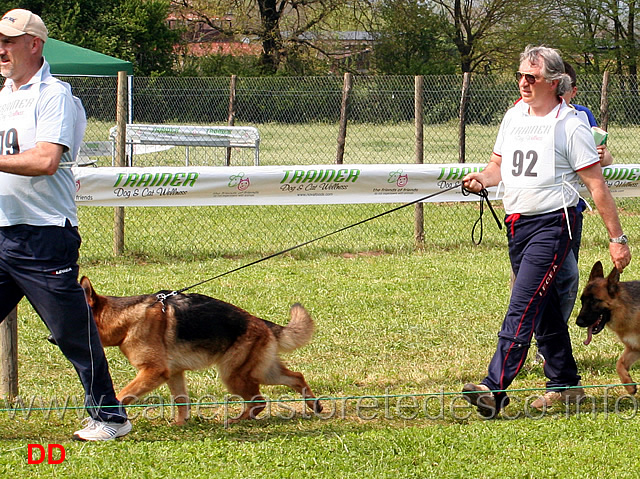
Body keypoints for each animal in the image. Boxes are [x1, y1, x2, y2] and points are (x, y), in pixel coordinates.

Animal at [576, 262, 640, 394]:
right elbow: (619, 364)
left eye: (594, 301)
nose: (578, 322)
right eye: (582, 300)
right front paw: (629, 385)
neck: (624, 309)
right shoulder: (634, 348)